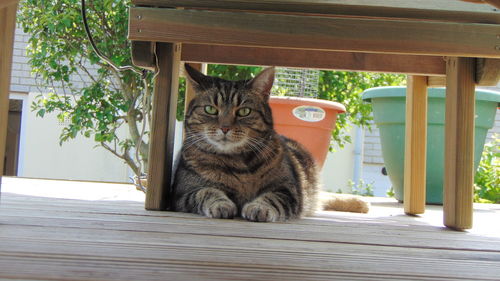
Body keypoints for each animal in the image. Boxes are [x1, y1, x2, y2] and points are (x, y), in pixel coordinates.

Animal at [174, 64, 370, 221]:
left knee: (324, 196)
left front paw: (259, 207)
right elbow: (206, 191)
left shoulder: (288, 189)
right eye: (210, 109)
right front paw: (221, 204)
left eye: (244, 111)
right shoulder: (182, 192)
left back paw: (359, 203)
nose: (225, 127)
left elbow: (272, 198)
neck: (237, 162)